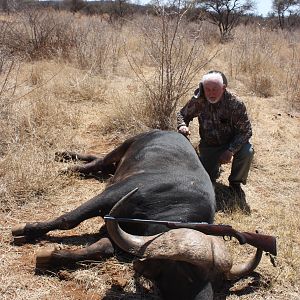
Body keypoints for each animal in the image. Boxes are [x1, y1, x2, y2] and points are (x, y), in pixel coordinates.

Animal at [11, 131, 262, 300]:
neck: (172, 202)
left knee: (99, 162)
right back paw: (67, 161)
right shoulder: (111, 196)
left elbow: (105, 247)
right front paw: (27, 229)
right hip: (125, 145)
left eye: (216, 282)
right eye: (186, 273)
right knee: (100, 161)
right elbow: (69, 219)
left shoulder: (115, 228)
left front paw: (51, 256)